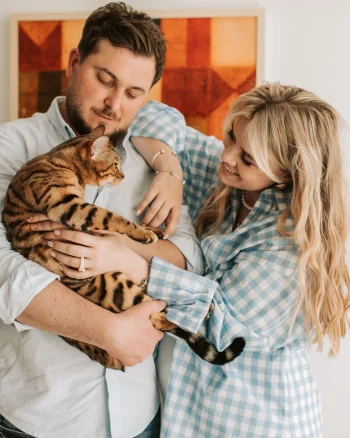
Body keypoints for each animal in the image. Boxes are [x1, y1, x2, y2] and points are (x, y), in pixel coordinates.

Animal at [2, 126, 246, 370]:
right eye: (115, 165)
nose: (123, 176)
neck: (63, 160)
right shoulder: (68, 206)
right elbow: (112, 217)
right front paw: (143, 233)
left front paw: (152, 230)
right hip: (115, 286)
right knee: (156, 318)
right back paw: (196, 313)